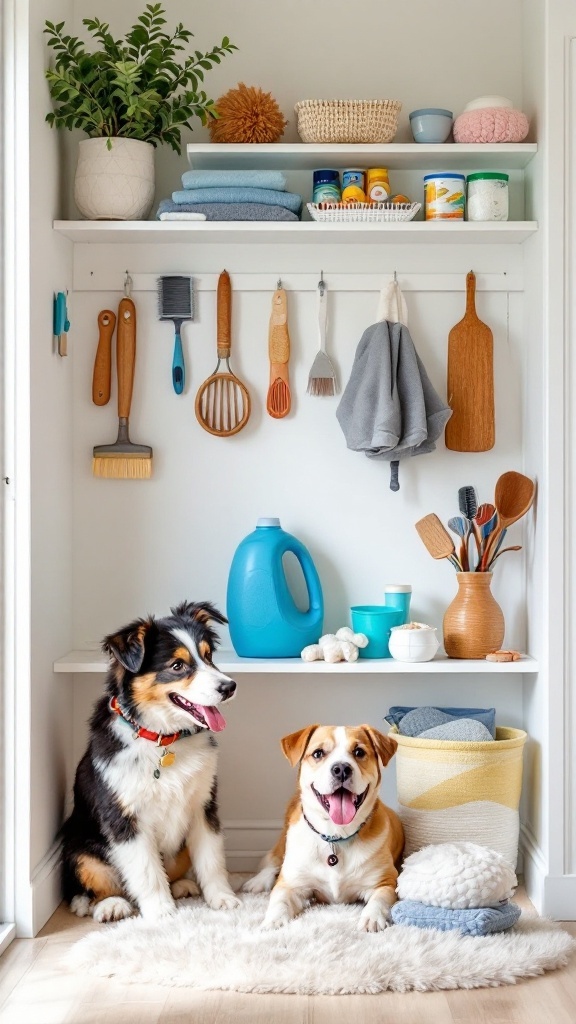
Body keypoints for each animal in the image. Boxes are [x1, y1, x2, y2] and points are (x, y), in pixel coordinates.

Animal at [59, 598, 236, 925]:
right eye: (177, 666)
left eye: (208, 656)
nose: (229, 687)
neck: (163, 739)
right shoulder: (124, 818)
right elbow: (146, 870)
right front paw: (162, 912)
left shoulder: (203, 805)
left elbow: (211, 859)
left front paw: (223, 898)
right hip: (79, 845)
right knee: (93, 886)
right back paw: (110, 905)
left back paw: (181, 886)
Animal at [243, 724, 401, 933]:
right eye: (318, 753)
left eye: (359, 752)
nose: (341, 769)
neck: (335, 835)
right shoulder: (291, 884)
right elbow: (279, 901)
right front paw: (273, 921)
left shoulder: (386, 881)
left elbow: (379, 899)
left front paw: (372, 917)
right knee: (274, 862)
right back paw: (258, 881)